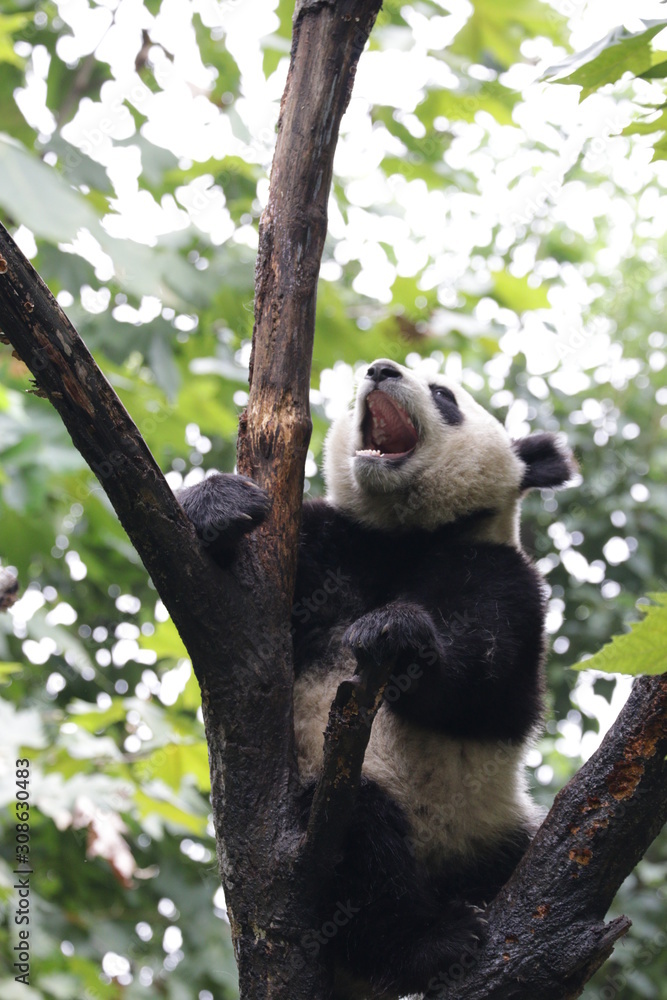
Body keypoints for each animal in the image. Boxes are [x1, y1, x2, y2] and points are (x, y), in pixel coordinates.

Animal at [178, 358, 576, 999]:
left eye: (443, 394)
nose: (381, 369)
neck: (403, 534)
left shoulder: (503, 574)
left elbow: (490, 685)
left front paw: (397, 631)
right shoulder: (324, 545)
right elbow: (222, 605)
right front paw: (221, 506)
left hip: (494, 830)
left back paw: (431, 940)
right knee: (361, 843)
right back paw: (428, 939)